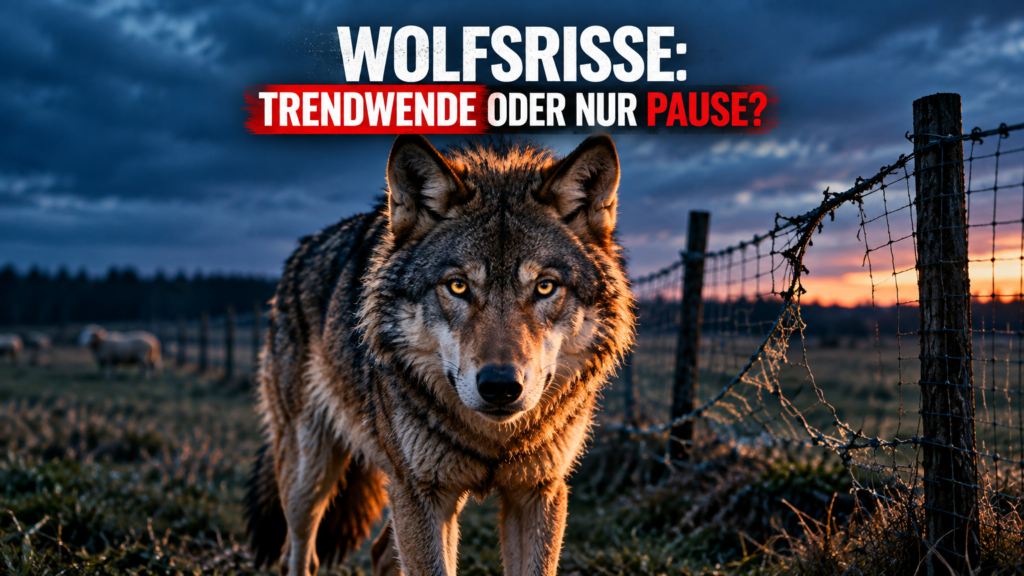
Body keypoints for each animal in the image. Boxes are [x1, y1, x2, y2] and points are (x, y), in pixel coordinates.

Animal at [247, 133, 635, 576]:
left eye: (545, 287)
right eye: (458, 286)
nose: (501, 387)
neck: (494, 440)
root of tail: (301, 251)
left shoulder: (538, 491)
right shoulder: (421, 493)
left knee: (381, 553)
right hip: (308, 474)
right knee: (297, 551)